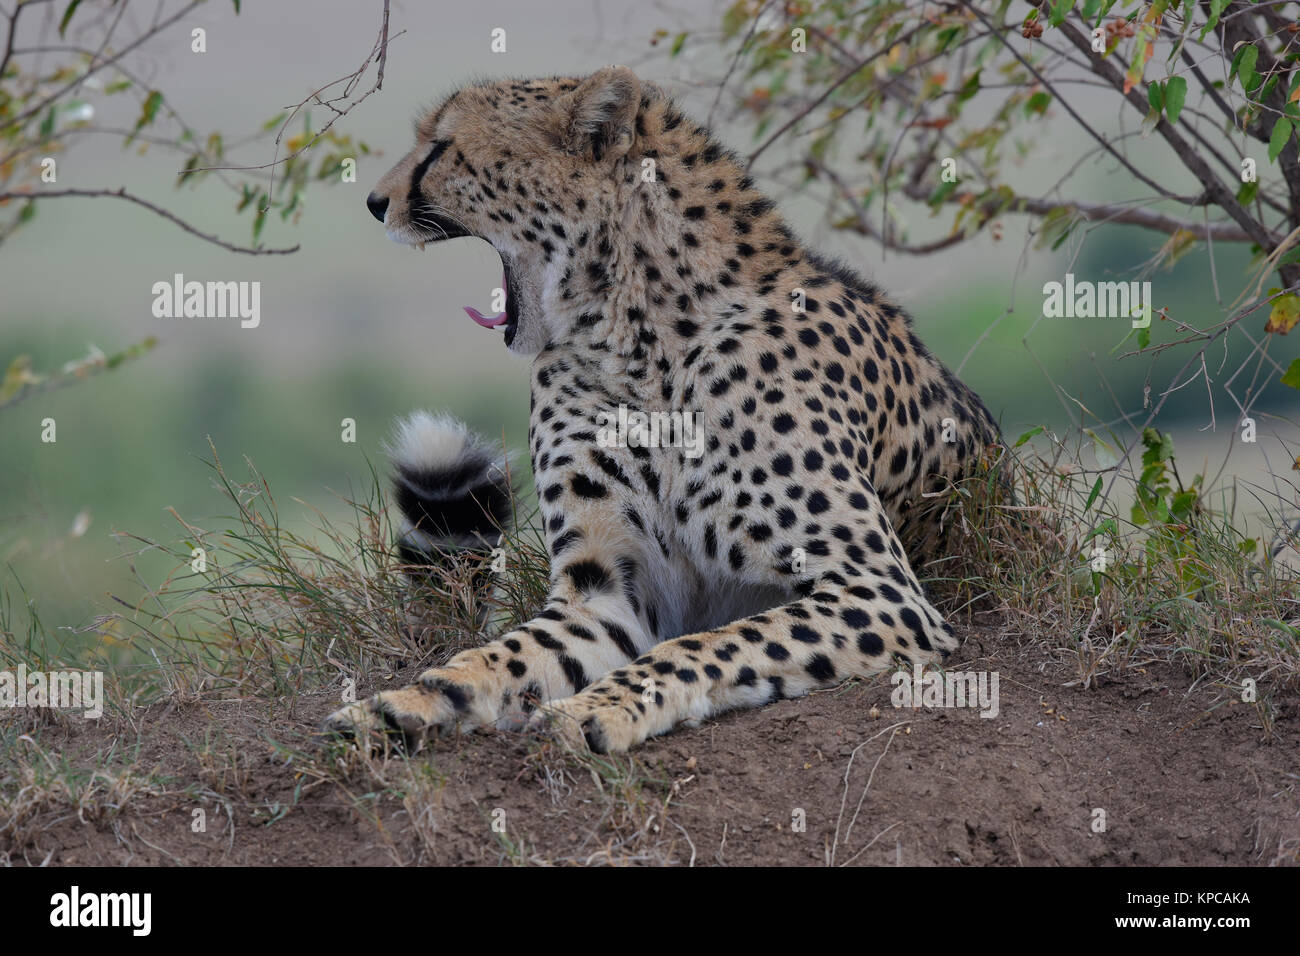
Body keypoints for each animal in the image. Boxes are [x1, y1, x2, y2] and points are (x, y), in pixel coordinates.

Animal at [323, 66, 1003, 755]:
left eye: (442, 146)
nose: (375, 202)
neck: (636, 333)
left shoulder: (880, 590)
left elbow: (708, 645)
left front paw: (596, 709)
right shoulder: (605, 593)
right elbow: (498, 656)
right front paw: (405, 702)